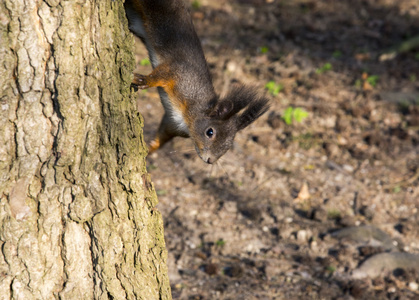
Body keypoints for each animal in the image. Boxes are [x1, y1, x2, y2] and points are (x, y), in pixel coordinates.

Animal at [124, 0, 270, 164]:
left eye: (230, 143)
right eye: (210, 132)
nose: (210, 160)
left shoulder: (172, 123)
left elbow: (161, 137)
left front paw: (149, 150)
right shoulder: (180, 74)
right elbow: (162, 74)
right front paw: (144, 80)